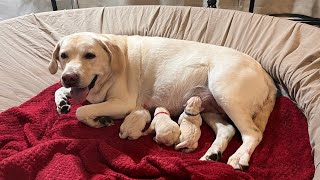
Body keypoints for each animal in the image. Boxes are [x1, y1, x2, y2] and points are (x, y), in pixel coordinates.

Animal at [48, 32, 276, 170]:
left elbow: (81, 111)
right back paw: (212, 154)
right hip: (207, 105)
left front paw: (98, 120)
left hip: (225, 94)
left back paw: (239, 156)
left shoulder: (123, 103)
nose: (69, 76)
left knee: (252, 134)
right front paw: (62, 102)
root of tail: (266, 73)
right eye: (63, 55)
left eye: (90, 55)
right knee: (227, 129)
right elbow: (60, 90)